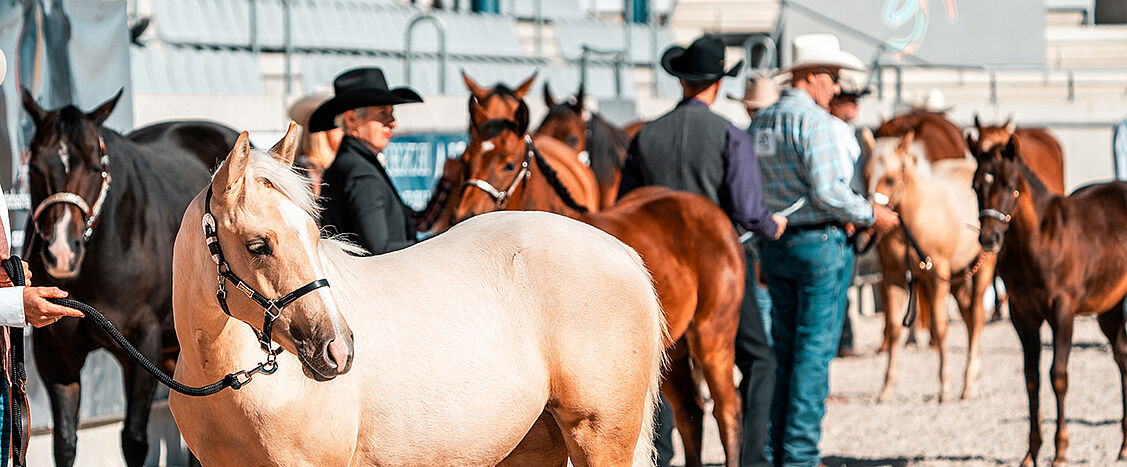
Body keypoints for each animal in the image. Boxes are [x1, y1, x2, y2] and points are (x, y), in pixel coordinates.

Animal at [20, 89, 236, 466]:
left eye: (95, 167)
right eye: (34, 167)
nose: (62, 253)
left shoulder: (142, 342)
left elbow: (134, 439)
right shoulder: (55, 353)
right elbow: (64, 442)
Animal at [452, 100, 747, 467]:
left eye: (508, 163)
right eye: (466, 159)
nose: (464, 213)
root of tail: (710, 212)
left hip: (712, 333)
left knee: (727, 411)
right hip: (673, 351)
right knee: (690, 414)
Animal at [865, 132, 997, 402]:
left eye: (890, 178)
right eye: (865, 175)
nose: (874, 220)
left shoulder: (937, 277)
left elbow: (940, 326)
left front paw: (944, 387)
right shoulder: (893, 278)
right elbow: (894, 329)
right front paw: (887, 388)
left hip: (981, 269)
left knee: (977, 316)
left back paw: (968, 383)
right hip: (958, 277)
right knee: (968, 318)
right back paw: (972, 379)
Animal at [969, 134, 1127, 467]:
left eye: (1009, 184)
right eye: (975, 185)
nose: (989, 239)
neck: (1038, 241)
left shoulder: (1063, 312)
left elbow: (1058, 376)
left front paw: (1061, 451)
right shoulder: (1022, 316)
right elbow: (1032, 379)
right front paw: (1031, 453)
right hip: (1109, 307)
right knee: (1122, 356)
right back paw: (1123, 444)